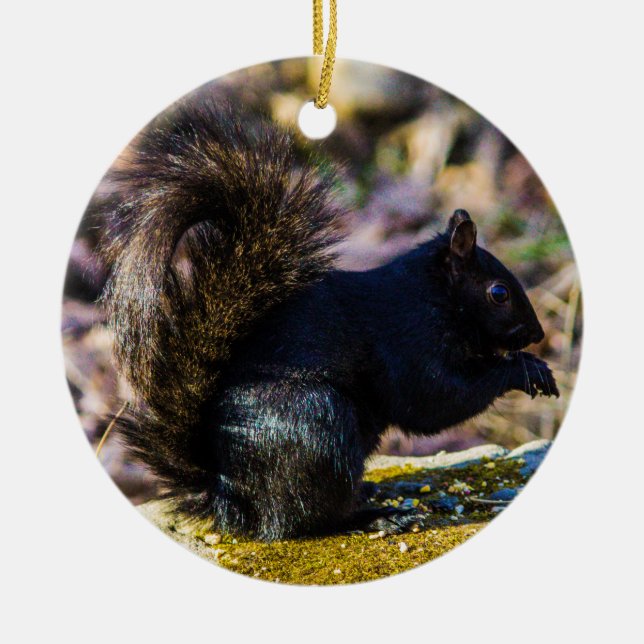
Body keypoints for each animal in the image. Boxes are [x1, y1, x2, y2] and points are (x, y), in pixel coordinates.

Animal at [91, 98, 559, 541]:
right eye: (498, 293)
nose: (537, 334)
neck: (433, 295)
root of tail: (228, 493)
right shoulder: (410, 342)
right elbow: (436, 401)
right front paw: (524, 369)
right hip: (318, 425)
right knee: (304, 521)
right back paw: (377, 516)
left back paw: (371, 492)